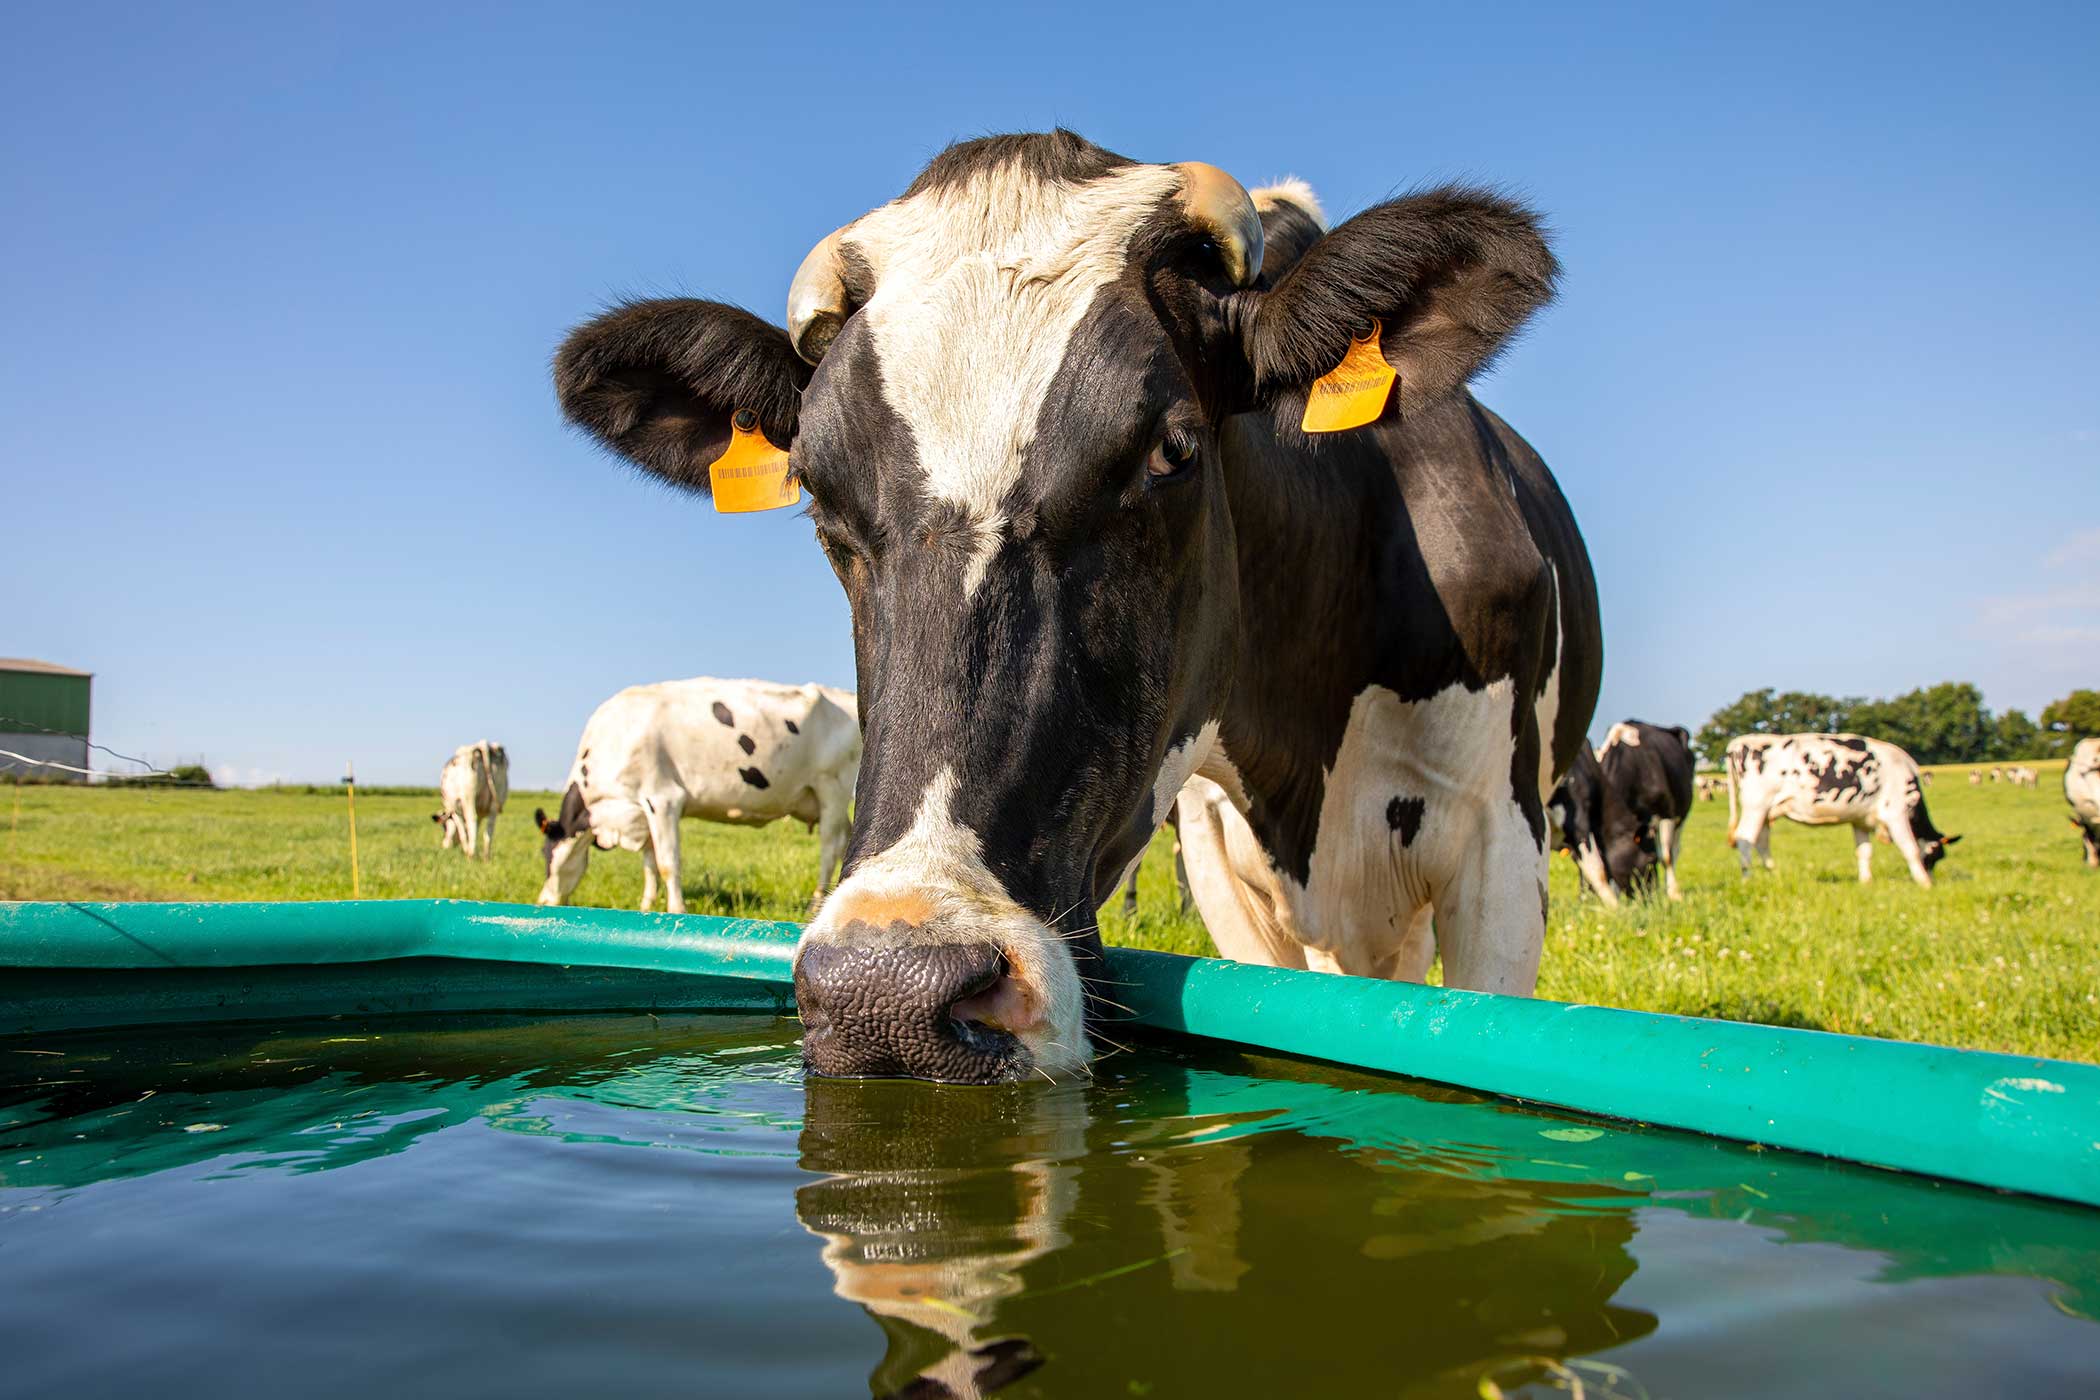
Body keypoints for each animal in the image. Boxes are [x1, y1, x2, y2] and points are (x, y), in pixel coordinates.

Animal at [541, 675, 869, 910]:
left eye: (546, 856)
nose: (542, 901)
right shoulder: (641, 811)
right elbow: (649, 862)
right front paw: (646, 906)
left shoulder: (663, 798)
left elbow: (667, 863)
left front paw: (676, 910)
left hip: (831, 788)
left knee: (829, 847)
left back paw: (815, 904)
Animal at [1595, 717, 1696, 902]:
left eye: (1651, 860)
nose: (1650, 898)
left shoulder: (1667, 813)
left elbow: (1666, 856)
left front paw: (1674, 894)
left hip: (1682, 813)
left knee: (1674, 849)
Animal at [1721, 734, 1948, 885]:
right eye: (1937, 856)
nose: (1934, 879)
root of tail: (1739, 743)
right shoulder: (1895, 813)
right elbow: (1910, 848)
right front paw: (1924, 883)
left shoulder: (1860, 820)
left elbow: (1864, 851)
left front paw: (1866, 881)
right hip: (1756, 805)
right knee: (1745, 838)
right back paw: (1747, 878)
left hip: (1766, 810)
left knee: (1761, 840)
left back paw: (1773, 873)